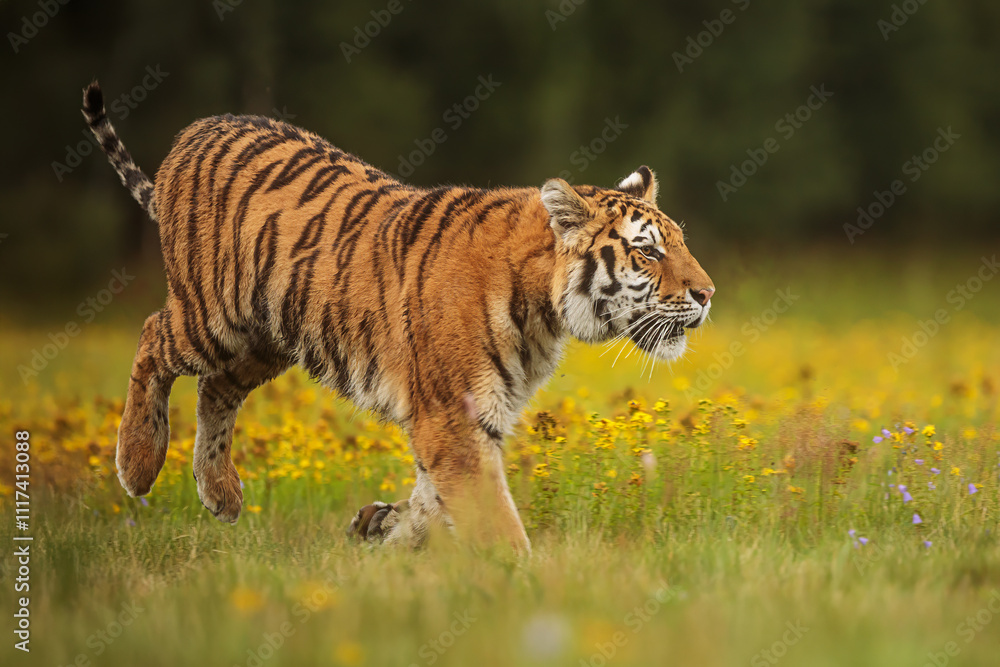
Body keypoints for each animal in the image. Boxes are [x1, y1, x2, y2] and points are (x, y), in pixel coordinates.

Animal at [81, 80, 714, 552]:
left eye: (680, 243)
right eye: (649, 251)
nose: (708, 293)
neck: (544, 313)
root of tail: (195, 130)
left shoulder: (473, 417)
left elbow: (434, 502)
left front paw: (381, 528)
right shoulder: (453, 416)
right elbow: (494, 518)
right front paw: (525, 584)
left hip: (268, 338)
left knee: (215, 389)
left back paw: (221, 494)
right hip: (214, 314)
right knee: (153, 337)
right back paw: (137, 463)